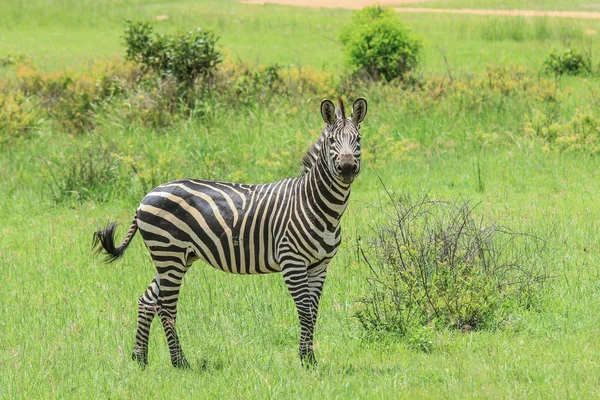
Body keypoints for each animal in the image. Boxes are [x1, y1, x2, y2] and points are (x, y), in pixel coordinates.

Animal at [92, 97, 366, 368]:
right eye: (332, 141)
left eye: (358, 139)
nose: (347, 167)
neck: (315, 204)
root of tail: (146, 196)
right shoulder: (292, 262)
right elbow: (305, 311)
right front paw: (306, 361)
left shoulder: (319, 266)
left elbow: (313, 311)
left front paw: (309, 359)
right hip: (169, 253)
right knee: (166, 307)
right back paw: (180, 362)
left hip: (175, 258)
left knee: (148, 301)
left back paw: (140, 357)